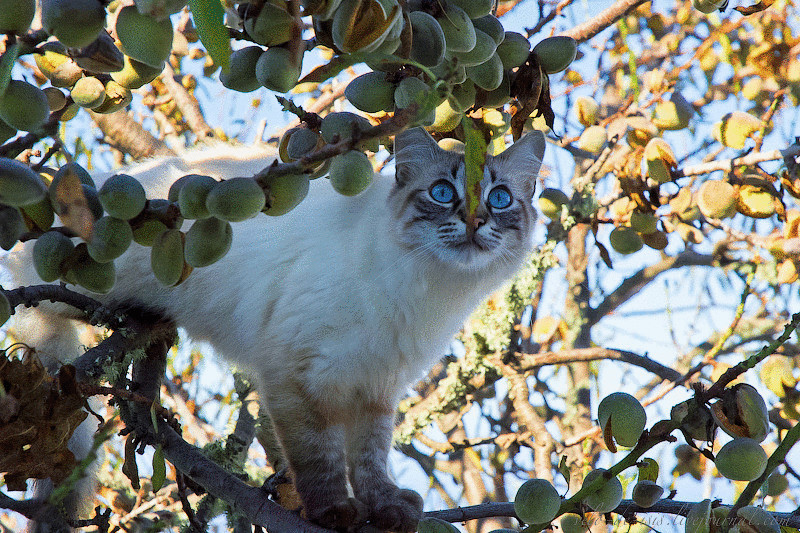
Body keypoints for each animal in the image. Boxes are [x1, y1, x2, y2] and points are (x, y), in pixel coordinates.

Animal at [4, 127, 544, 528]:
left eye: (498, 198)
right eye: (442, 193)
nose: (475, 221)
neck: (430, 292)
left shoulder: (375, 386)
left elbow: (370, 459)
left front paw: (386, 509)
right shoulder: (294, 371)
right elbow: (320, 459)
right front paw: (335, 513)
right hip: (81, 274)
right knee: (36, 297)